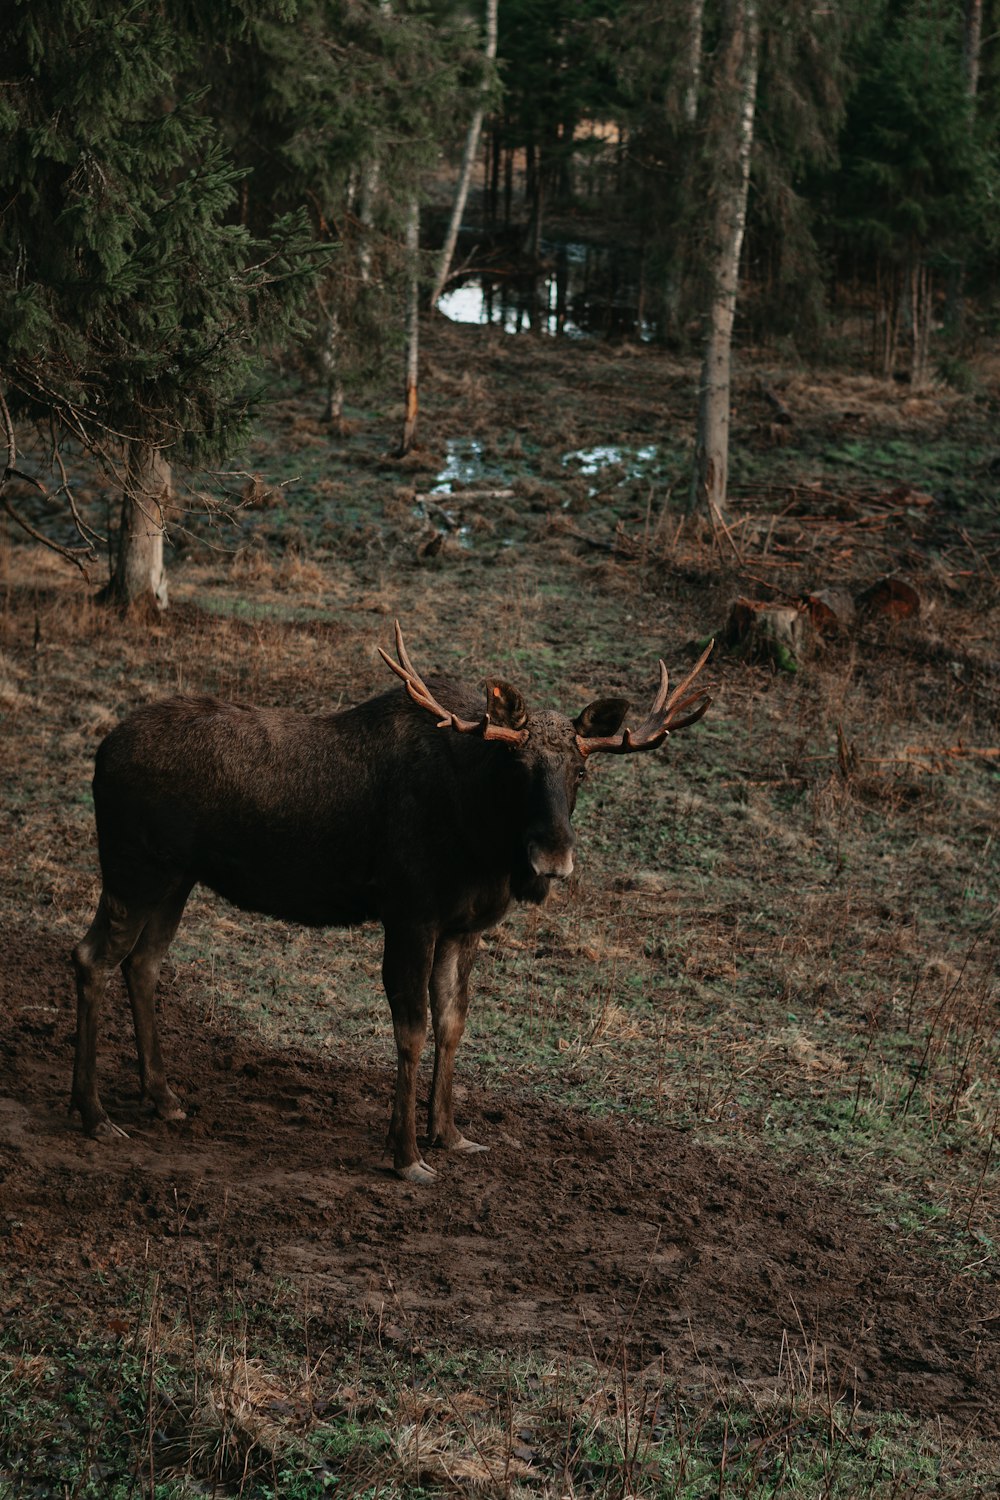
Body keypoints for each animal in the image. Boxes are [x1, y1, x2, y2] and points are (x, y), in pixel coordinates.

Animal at [70, 624, 710, 1182]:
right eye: (519, 766)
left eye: (581, 769)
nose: (552, 857)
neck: (482, 838)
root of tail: (100, 755)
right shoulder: (410, 913)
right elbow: (412, 1028)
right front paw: (406, 1155)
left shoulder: (464, 926)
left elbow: (453, 1021)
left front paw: (449, 1134)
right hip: (134, 869)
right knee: (91, 957)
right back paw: (93, 1114)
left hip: (176, 879)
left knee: (143, 963)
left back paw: (163, 1097)